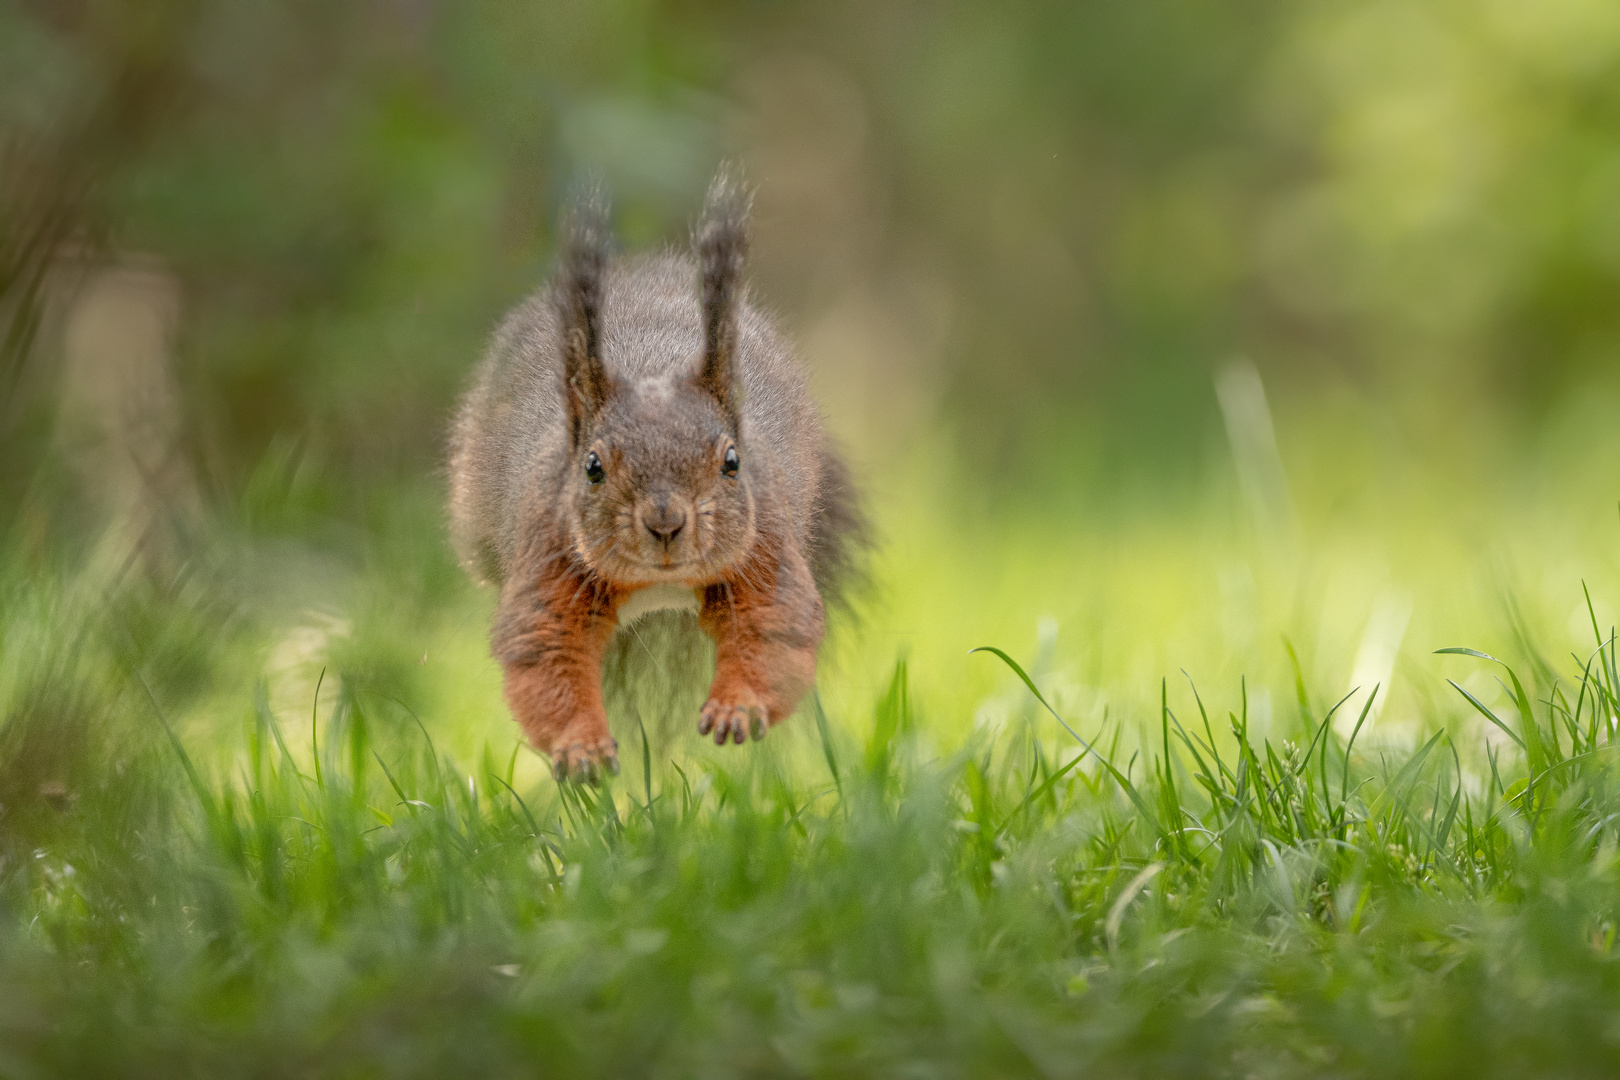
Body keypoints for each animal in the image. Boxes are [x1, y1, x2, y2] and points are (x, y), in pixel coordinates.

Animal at [443, 169, 868, 780]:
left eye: (732, 461)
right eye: (593, 467)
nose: (666, 523)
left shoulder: (765, 542)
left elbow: (774, 625)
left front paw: (736, 709)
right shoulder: (547, 548)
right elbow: (546, 649)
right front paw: (582, 746)